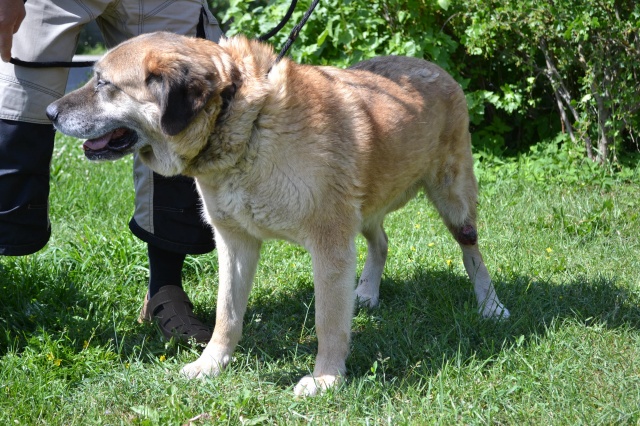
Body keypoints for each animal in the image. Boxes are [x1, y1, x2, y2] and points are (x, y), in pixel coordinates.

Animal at [47, 31, 509, 396]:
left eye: (104, 83)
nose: (50, 113)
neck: (242, 121)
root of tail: (431, 66)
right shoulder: (234, 243)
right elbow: (227, 315)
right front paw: (210, 365)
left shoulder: (329, 246)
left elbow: (328, 322)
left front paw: (325, 380)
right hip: (366, 208)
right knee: (381, 242)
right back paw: (366, 291)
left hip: (453, 201)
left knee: (472, 253)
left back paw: (491, 307)